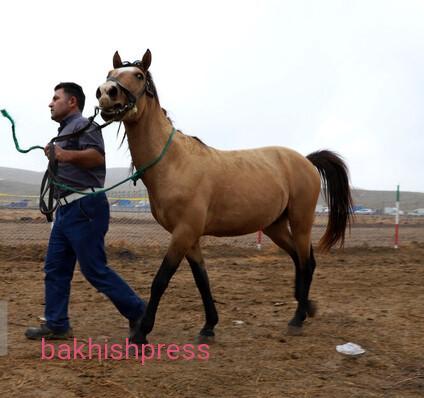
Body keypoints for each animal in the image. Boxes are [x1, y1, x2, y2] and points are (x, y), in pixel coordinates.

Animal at [96, 48, 354, 344]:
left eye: (138, 75)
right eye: (110, 73)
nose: (106, 92)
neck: (174, 162)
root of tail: (307, 161)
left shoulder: (183, 232)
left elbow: (161, 279)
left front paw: (141, 332)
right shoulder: (190, 237)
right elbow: (202, 279)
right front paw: (209, 326)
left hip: (301, 221)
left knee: (305, 262)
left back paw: (297, 318)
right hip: (274, 226)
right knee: (300, 261)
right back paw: (306, 307)